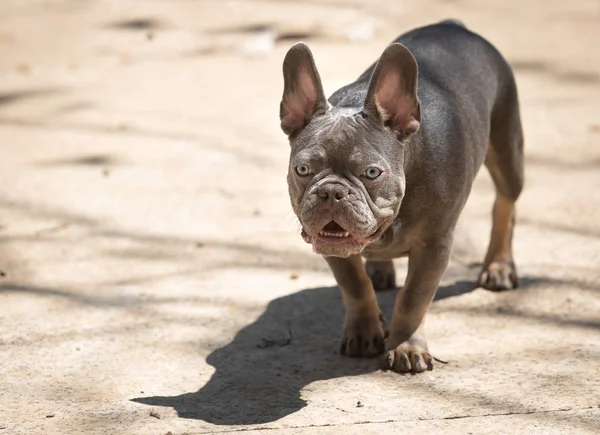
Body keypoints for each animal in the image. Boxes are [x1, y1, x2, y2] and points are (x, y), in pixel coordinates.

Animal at [278, 19, 524, 374]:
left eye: (372, 173)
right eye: (302, 169)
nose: (331, 191)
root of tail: (452, 26)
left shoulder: (435, 245)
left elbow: (413, 298)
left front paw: (406, 346)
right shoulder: (335, 248)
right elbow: (354, 285)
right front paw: (364, 331)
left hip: (507, 149)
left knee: (505, 201)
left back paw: (499, 266)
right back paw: (380, 269)